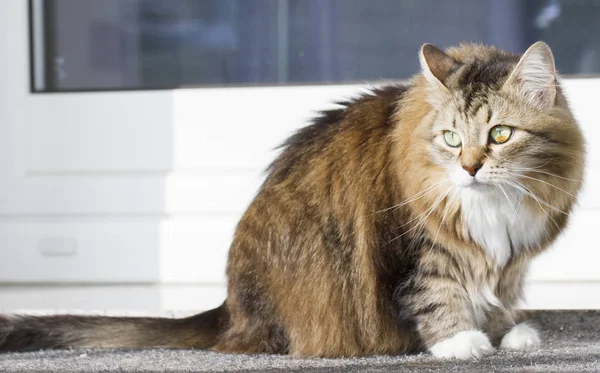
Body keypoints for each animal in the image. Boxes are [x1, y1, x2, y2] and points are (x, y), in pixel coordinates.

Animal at [0, 40, 584, 358]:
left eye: (500, 135)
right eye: (451, 139)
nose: (469, 168)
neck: (493, 206)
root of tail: (231, 308)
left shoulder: (508, 260)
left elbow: (497, 295)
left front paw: (507, 332)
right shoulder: (415, 249)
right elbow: (438, 295)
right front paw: (461, 342)